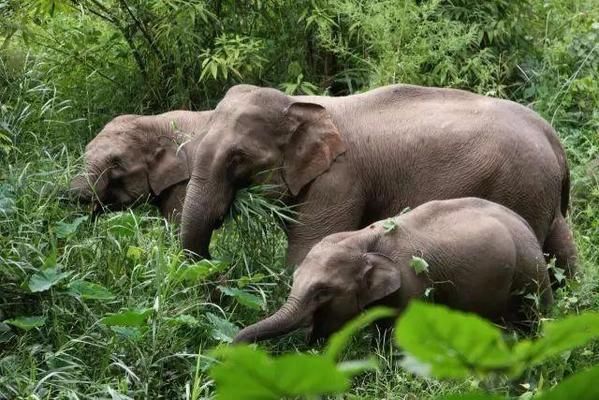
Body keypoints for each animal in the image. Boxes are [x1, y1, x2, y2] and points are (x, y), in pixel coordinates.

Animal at [182, 84, 576, 278]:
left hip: (520, 186)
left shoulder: (339, 181)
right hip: (540, 192)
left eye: (238, 158)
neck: (300, 104)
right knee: (562, 246)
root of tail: (552, 137)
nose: (218, 271)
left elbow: (306, 251)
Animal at [232, 198, 556, 344]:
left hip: (530, 272)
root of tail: (524, 223)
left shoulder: (411, 284)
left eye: (322, 292)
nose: (230, 351)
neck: (362, 238)